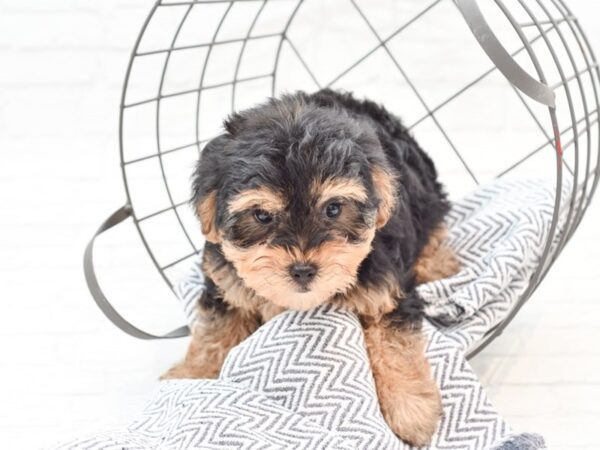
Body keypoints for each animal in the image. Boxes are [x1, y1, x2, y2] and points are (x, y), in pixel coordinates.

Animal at [166, 89, 462, 446]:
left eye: (333, 209)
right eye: (261, 215)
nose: (303, 269)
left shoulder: (386, 289)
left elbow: (394, 344)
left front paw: (410, 407)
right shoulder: (225, 282)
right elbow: (215, 331)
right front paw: (193, 374)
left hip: (426, 196)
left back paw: (440, 265)